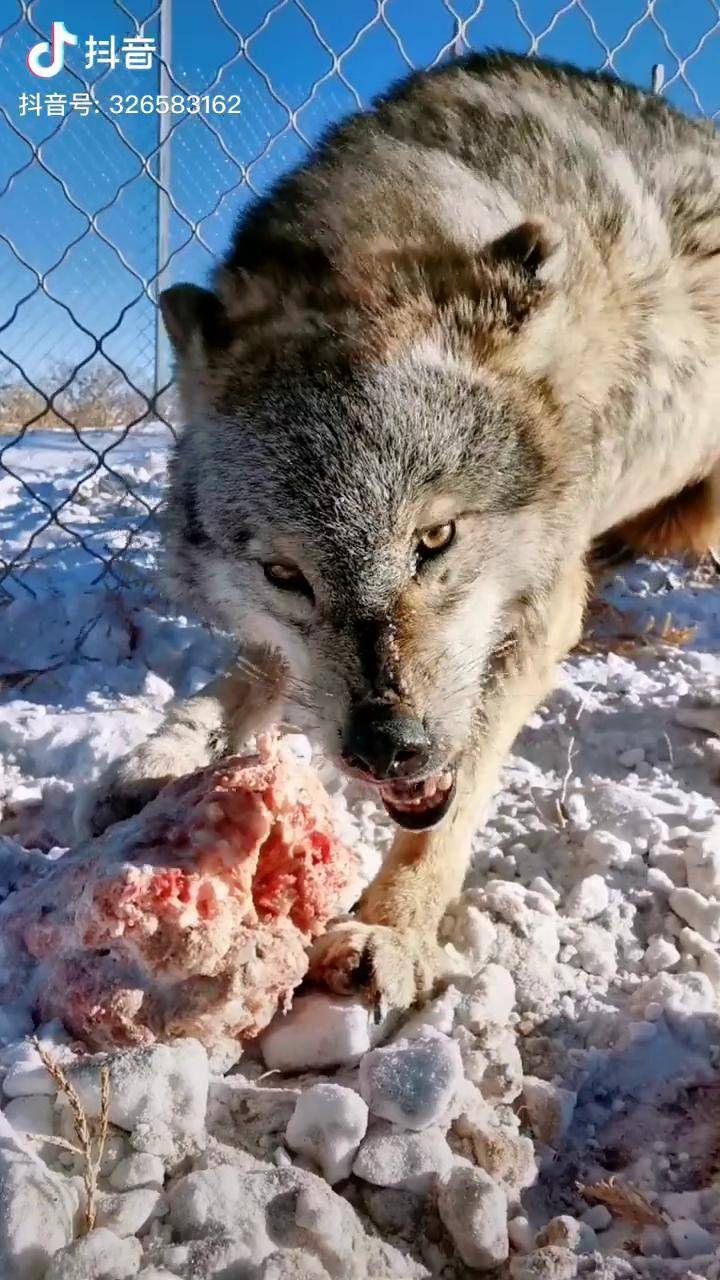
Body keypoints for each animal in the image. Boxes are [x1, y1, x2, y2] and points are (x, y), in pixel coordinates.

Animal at [87, 52, 717, 1008]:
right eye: (286, 575)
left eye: (436, 540)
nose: (387, 748)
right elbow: (249, 672)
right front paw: (165, 756)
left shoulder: (545, 605)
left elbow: (454, 793)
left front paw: (392, 925)